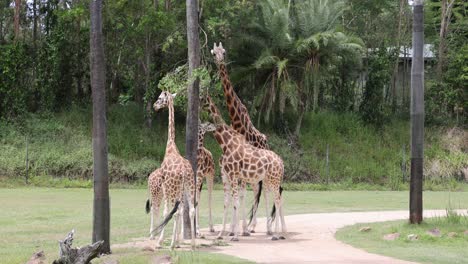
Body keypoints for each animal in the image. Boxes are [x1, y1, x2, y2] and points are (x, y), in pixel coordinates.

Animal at [148, 91, 196, 250]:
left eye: (159, 98)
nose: (155, 106)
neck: (170, 146)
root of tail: (184, 172)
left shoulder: (165, 185)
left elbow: (166, 212)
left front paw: (161, 241)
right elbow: (179, 211)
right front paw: (177, 241)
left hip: (173, 187)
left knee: (173, 212)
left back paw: (170, 244)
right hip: (189, 186)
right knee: (190, 210)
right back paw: (193, 244)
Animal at [200, 95, 288, 241]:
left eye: (202, 98)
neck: (226, 144)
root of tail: (281, 162)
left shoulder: (233, 175)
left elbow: (236, 202)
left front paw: (235, 235)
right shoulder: (228, 176)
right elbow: (228, 202)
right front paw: (221, 234)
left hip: (273, 180)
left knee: (277, 199)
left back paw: (275, 234)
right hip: (269, 180)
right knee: (275, 198)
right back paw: (279, 232)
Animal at [210, 42, 268, 232]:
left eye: (224, 52)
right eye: (213, 53)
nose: (220, 61)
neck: (237, 123)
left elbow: (241, 194)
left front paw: (240, 227)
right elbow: (238, 194)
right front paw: (232, 227)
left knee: (259, 190)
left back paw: (253, 225)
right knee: (255, 190)